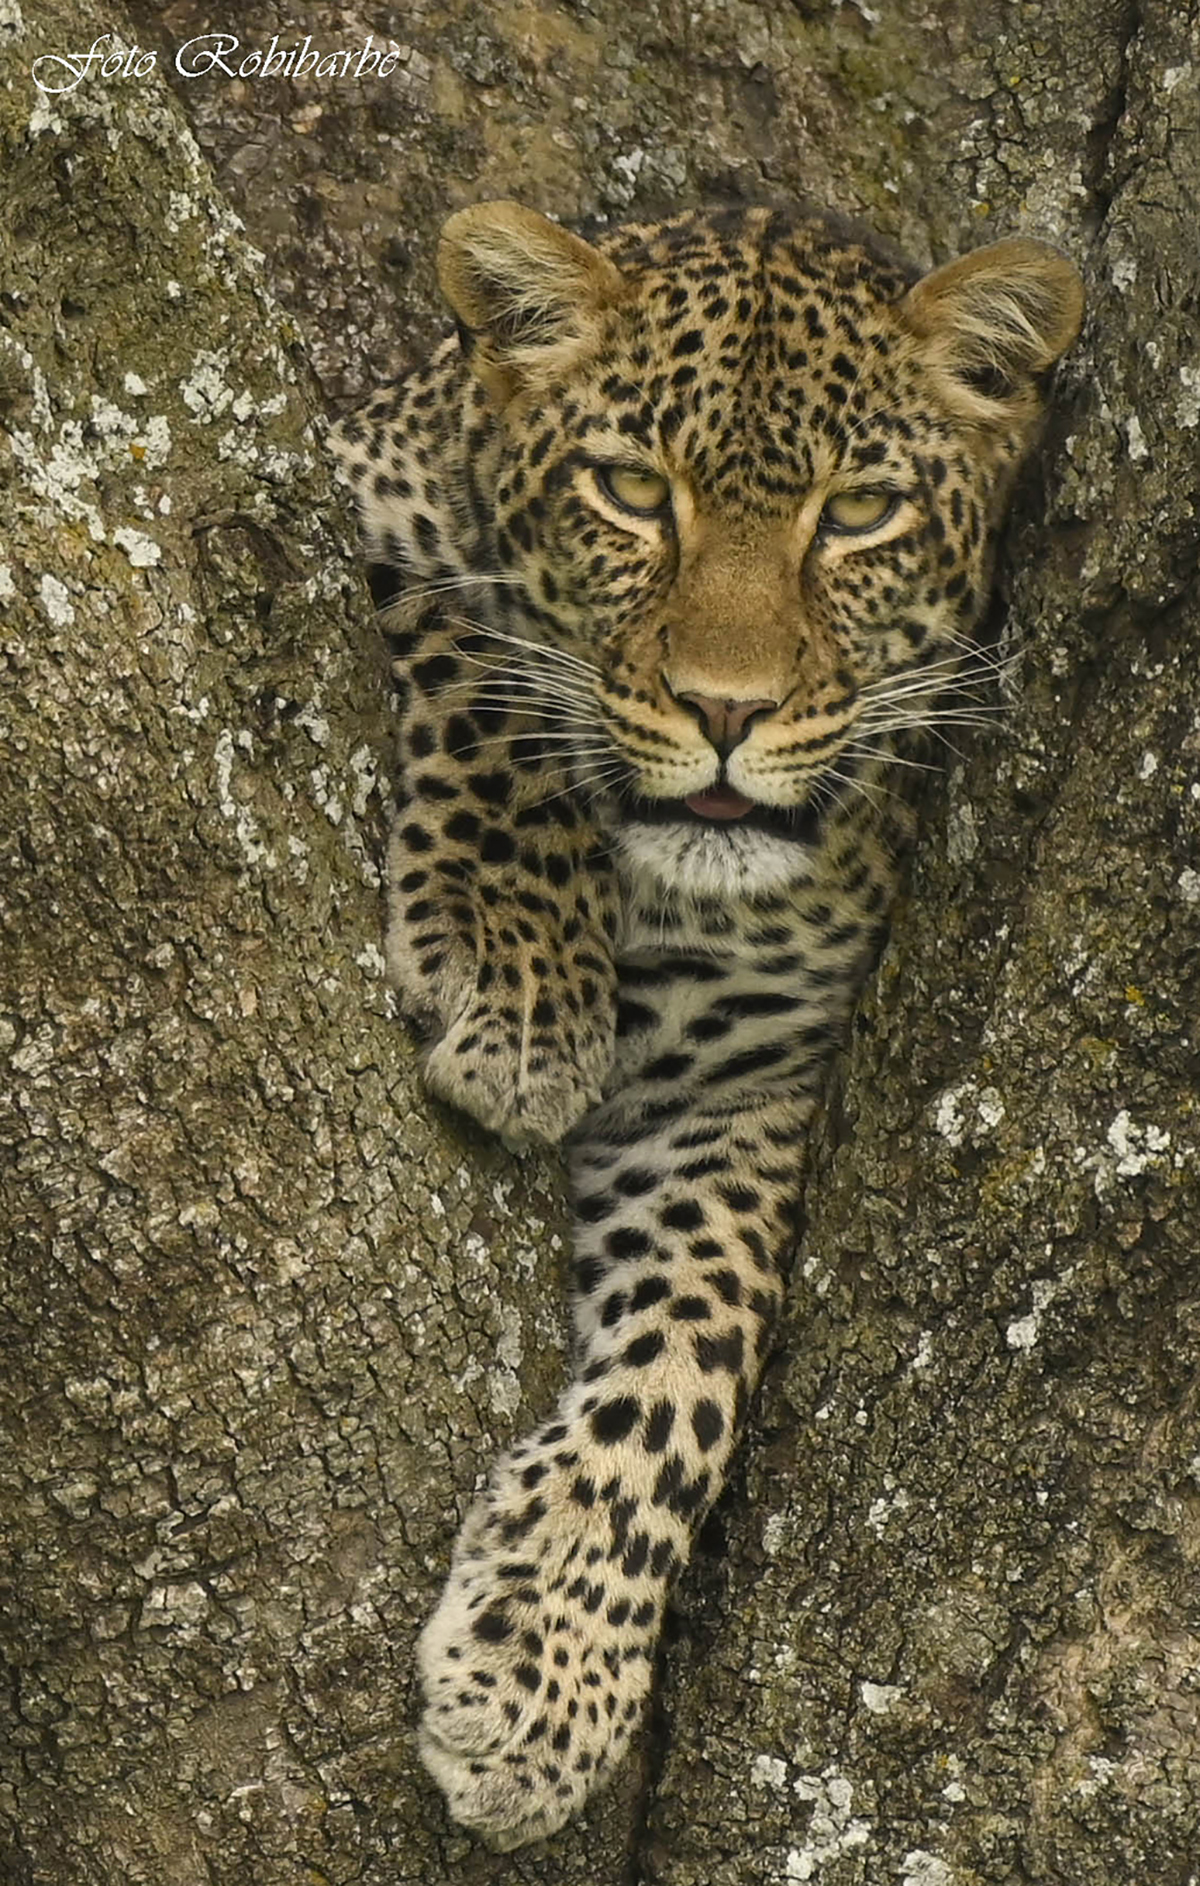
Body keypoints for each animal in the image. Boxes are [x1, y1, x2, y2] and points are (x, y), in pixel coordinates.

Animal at [331, 199, 1082, 1850]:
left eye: (858, 513)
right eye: (629, 492)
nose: (724, 711)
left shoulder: (735, 1091)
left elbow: (690, 1366)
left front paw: (540, 1674)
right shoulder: (360, 487)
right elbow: (493, 656)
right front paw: (517, 980)